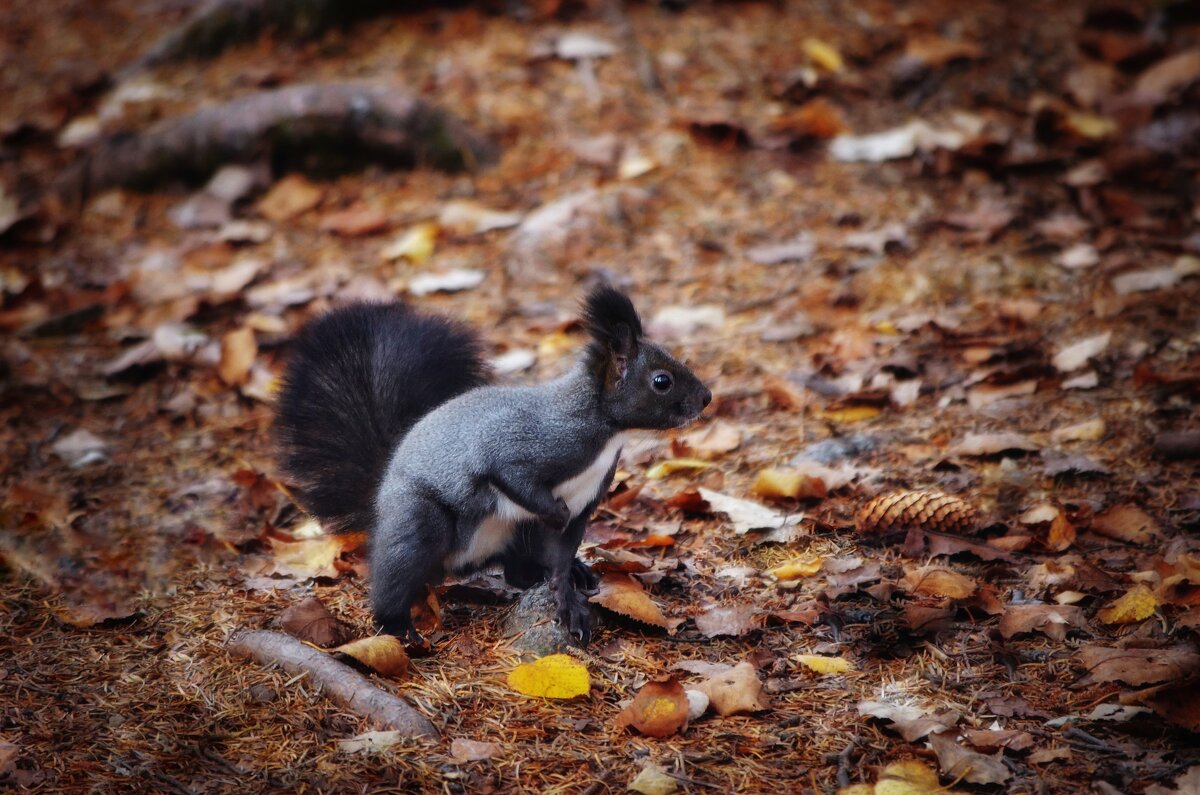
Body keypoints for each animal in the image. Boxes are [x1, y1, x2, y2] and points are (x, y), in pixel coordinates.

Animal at [274, 288, 705, 648]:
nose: (707, 398)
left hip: (517, 536)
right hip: (420, 522)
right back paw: (398, 627)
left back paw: (565, 573)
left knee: (520, 570)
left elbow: (561, 557)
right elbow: (514, 478)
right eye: (661, 381)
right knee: (396, 574)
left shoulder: (587, 500)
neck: (601, 428)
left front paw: (569, 602)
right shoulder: (526, 444)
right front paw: (555, 516)